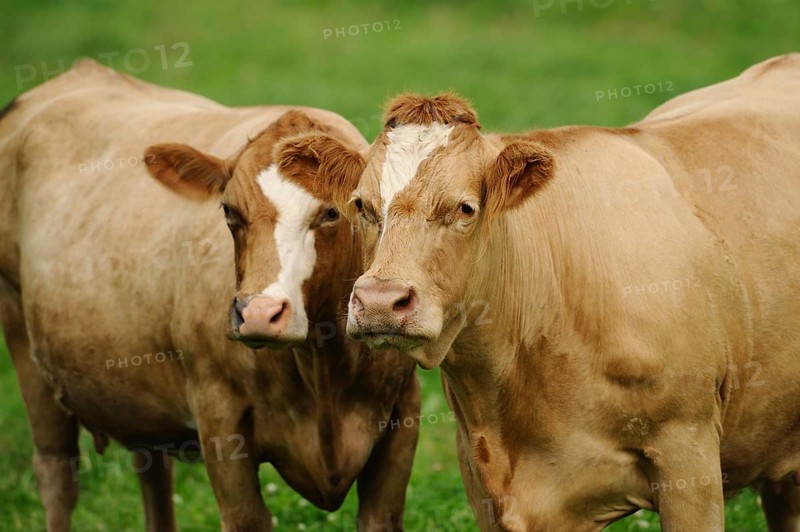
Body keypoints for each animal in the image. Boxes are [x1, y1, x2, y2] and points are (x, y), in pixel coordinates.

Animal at [0, 59, 419, 532]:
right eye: (229, 211)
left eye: (332, 212)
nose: (258, 313)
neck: (322, 367)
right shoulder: (219, 418)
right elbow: (246, 517)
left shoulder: (403, 418)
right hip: (24, 343)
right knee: (56, 475)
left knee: (153, 472)